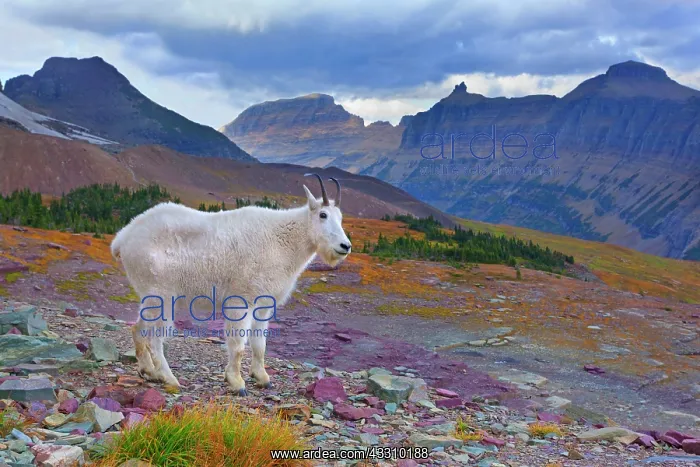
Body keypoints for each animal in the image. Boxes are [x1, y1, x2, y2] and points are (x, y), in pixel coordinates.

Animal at [110, 174, 352, 395]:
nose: (345, 246)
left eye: (340, 217)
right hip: (160, 293)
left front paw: (262, 378)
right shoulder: (240, 299)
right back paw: (168, 377)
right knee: (155, 336)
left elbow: (259, 343)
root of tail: (123, 237)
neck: (283, 241)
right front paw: (236, 382)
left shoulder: (264, 303)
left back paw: (148, 371)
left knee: (138, 328)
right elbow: (237, 345)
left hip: (150, 294)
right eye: (322, 214)